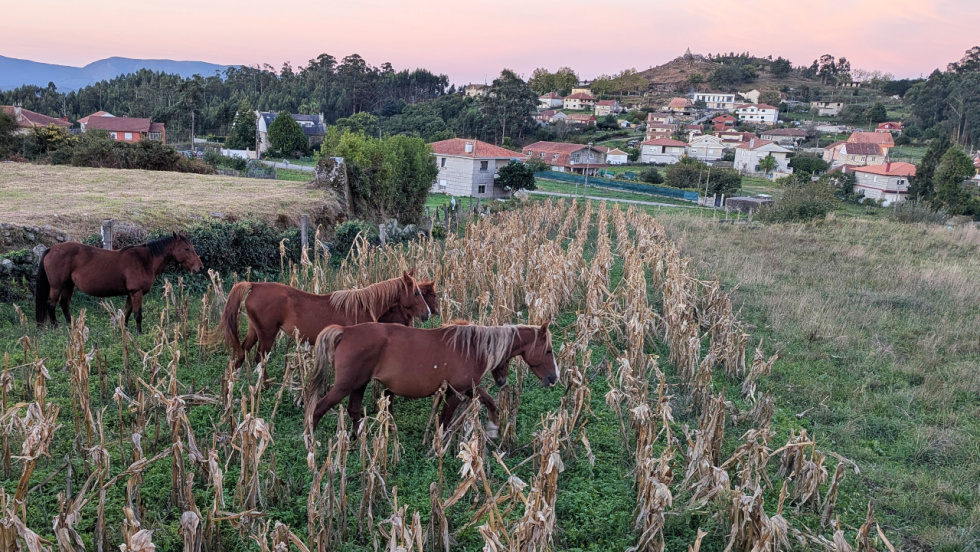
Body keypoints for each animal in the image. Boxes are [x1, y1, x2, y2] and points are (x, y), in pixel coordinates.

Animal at [36, 232, 203, 333]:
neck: (145, 260)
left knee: (64, 304)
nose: (200, 267)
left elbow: (127, 312)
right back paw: (56, 326)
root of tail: (51, 249)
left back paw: (72, 326)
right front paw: (139, 333)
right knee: (51, 304)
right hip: (57, 286)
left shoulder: (131, 293)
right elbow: (137, 314)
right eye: (186, 249)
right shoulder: (136, 293)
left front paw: (126, 330)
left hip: (68, 285)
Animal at [216, 271, 433, 381]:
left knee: (243, 350)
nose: (427, 313)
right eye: (416, 293)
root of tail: (255, 285)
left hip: (255, 330)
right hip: (267, 334)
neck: (360, 306)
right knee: (259, 357)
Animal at [309, 321, 559, 437]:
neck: (472, 346)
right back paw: (312, 443)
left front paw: (492, 429)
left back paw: (359, 439)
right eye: (548, 350)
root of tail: (346, 331)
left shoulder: (467, 388)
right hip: (345, 385)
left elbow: (490, 402)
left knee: (353, 410)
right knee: (318, 408)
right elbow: (445, 419)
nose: (554, 378)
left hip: (359, 384)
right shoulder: (456, 392)